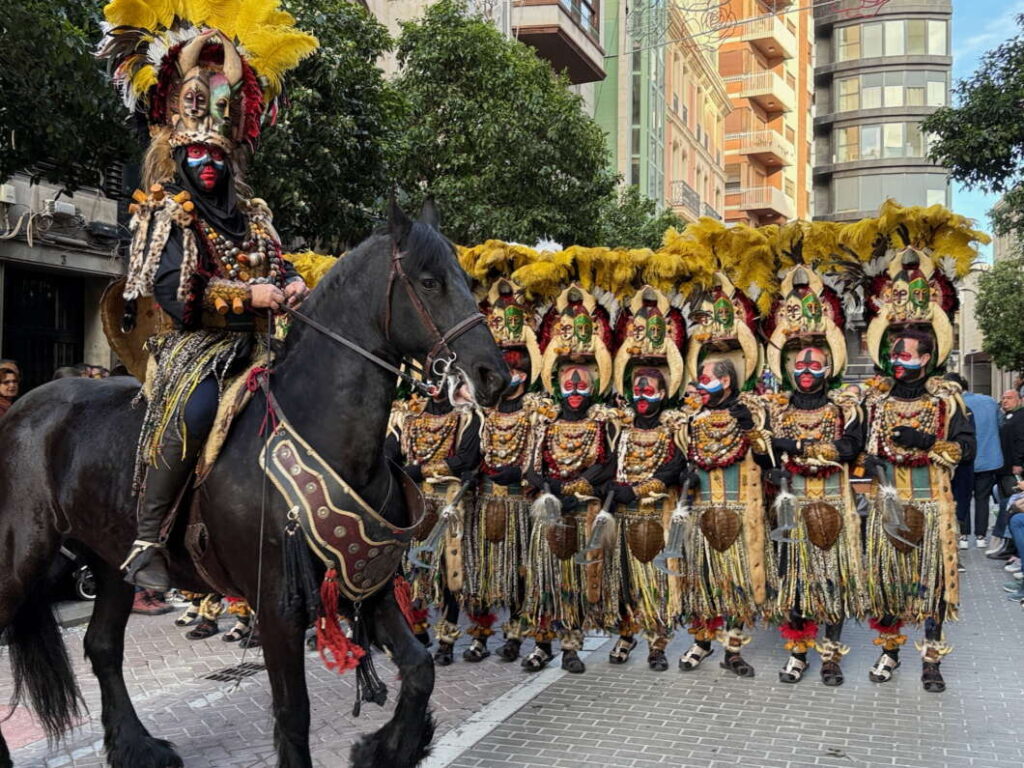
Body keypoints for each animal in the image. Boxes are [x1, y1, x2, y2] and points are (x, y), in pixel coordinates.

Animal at [0, 204, 509, 768]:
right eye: (429, 281)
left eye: (465, 278)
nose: (496, 376)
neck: (322, 432)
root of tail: (26, 407)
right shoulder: (278, 606)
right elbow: (293, 714)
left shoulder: (366, 585)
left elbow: (420, 669)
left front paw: (383, 747)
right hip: (21, 555)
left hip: (112, 561)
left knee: (103, 646)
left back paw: (138, 747)